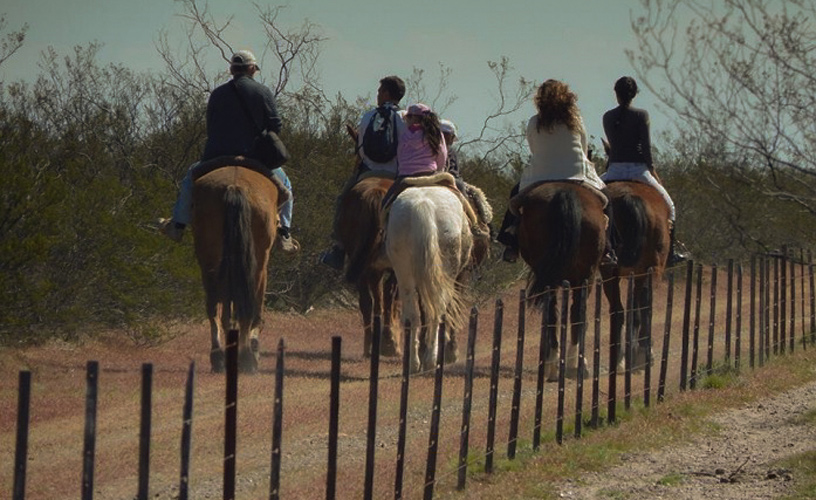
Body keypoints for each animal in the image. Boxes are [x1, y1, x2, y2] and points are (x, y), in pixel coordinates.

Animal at [191, 162, 286, 374]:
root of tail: (234, 187)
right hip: (257, 261)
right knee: (248, 306)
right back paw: (246, 358)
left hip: (209, 257)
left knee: (214, 306)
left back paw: (219, 357)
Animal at [388, 183, 474, 372]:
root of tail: (423, 206)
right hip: (446, 273)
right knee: (438, 310)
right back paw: (431, 360)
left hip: (404, 272)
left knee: (413, 314)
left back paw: (414, 362)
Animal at [516, 182, 604, 380]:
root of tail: (565, 192)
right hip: (585, 275)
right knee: (574, 312)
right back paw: (572, 364)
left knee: (553, 311)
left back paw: (554, 364)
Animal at [600, 182, 668, 370]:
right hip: (650, 270)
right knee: (645, 306)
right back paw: (643, 354)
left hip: (611, 273)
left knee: (618, 310)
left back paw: (618, 357)